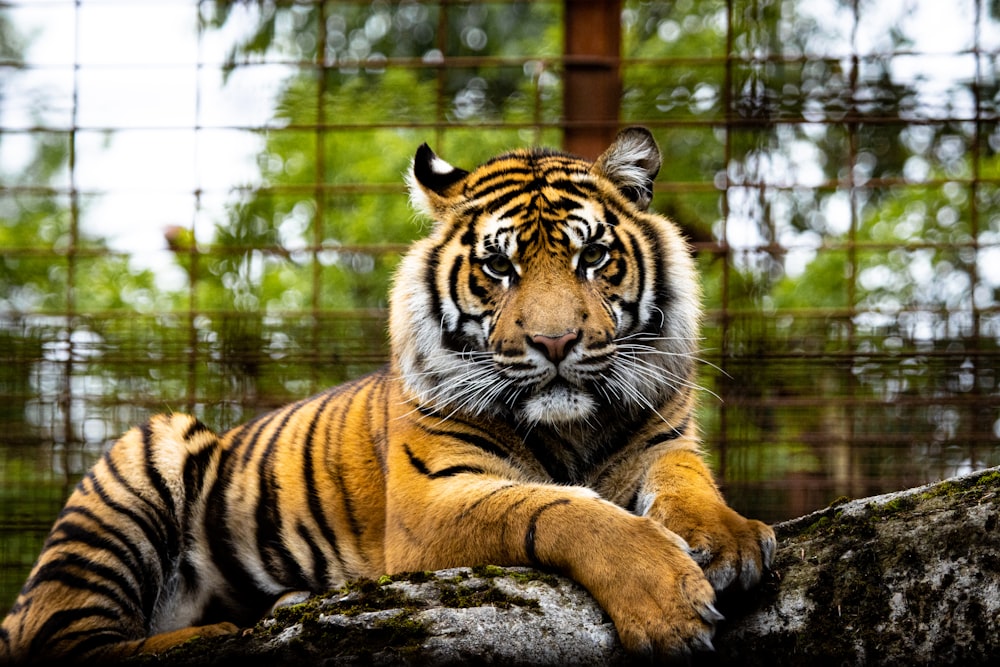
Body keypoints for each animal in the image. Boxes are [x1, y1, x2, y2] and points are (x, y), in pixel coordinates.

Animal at [0, 128, 776, 664]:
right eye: (499, 266)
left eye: (593, 257)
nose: (555, 343)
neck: (571, 429)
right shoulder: (432, 499)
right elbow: (562, 510)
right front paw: (667, 601)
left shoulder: (662, 441)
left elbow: (689, 483)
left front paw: (730, 538)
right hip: (142, 458)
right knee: (66, 641)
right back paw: (223, 627)